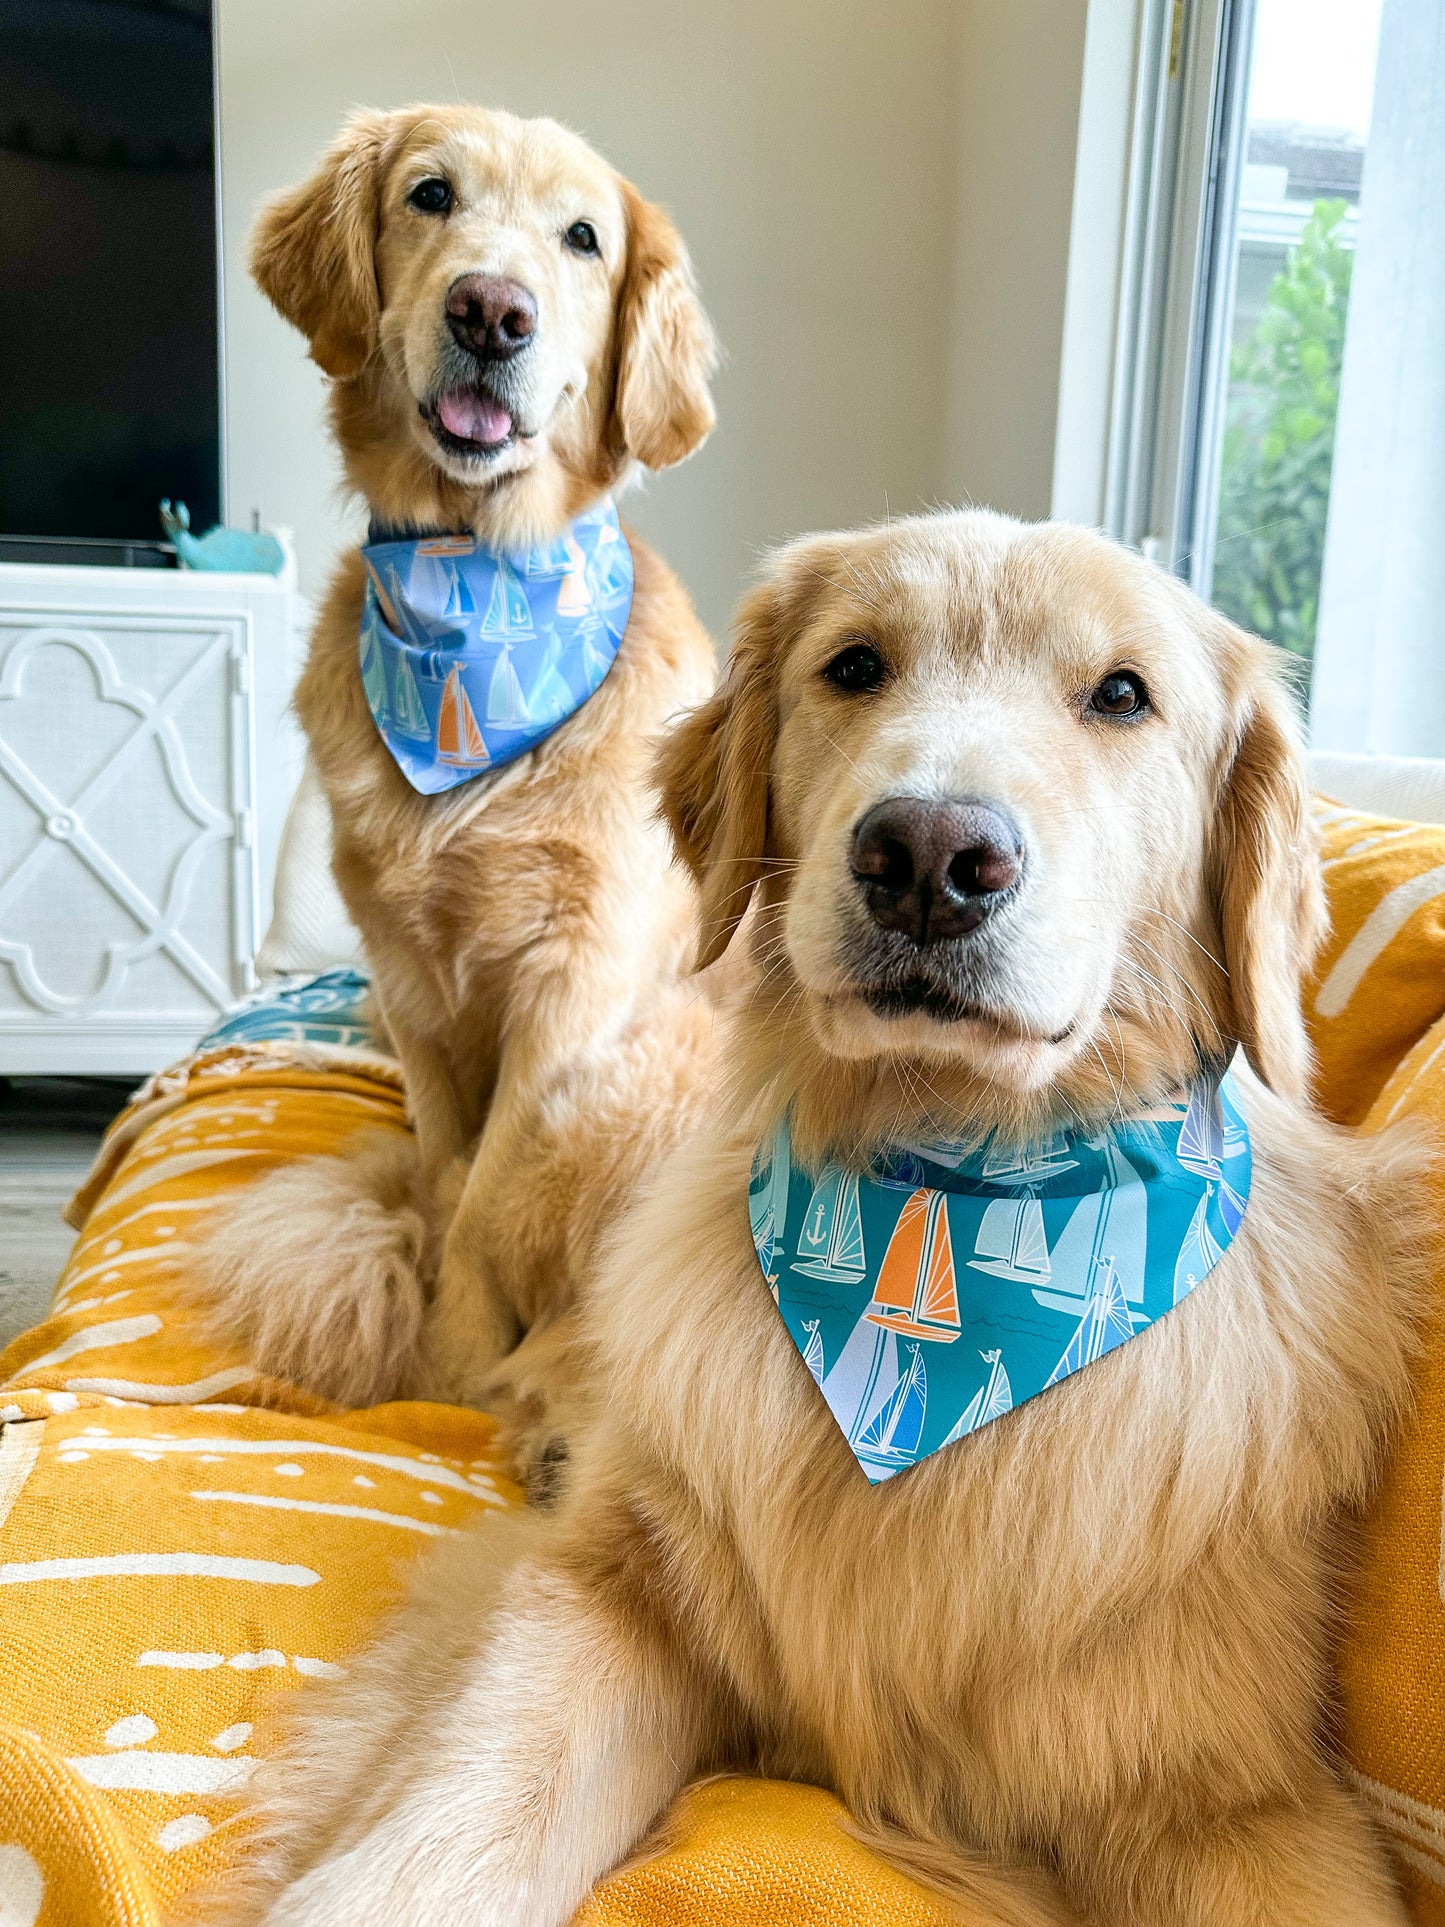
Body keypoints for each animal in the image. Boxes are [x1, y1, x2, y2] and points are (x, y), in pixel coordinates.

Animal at [195, 109, 724, 1418]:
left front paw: (449, 1365)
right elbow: (445, 1173)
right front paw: (429, 1308)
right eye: (430, 195)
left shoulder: (572, 989)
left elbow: (486, 1196)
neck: (476, 589)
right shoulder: (407, 984)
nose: (491, 311)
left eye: (582, 238)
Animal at [209, 512, 1433, 1927]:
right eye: (853, 665)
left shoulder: (1240, 1789)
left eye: (1122, 695)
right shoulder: (605, 1597)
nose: (927, 860)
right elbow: (462, 1806)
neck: (946, 1175)